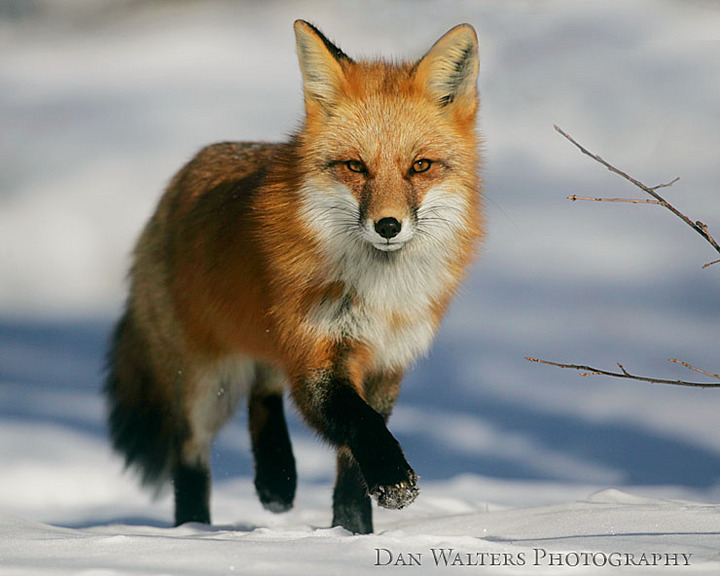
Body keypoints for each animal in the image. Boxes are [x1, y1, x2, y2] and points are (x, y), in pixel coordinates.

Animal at [105, 19, 482, 535]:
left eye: (420, 166)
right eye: (355, 166)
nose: (388, 226)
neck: (379, 292)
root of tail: (173, 187)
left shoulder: (386, 362)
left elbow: (352, 459)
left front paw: (352, 531)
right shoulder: (317, 351)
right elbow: (361, 424)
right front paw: (392, 478)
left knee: (263, 387)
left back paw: (276, 480)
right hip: (205, 384)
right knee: (191, 457)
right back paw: (195, 530)